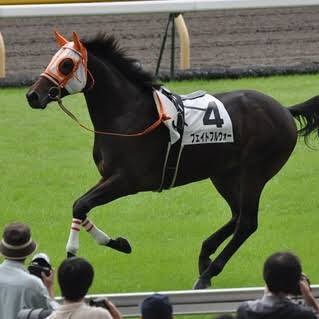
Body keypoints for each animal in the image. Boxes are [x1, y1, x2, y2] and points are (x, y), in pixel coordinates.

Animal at [26, 32, 319, 290]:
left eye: (66, 64)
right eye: (53, 59)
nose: (33, 95)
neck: (127, 116)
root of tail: (284, 110)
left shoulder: (127, 181)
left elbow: (81, 204)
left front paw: (75, 252)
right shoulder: (108, 176)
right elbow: (80, 205)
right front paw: (119, 243)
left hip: (254, 172)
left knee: (247, 222)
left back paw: (208, 273)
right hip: (224, 174)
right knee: (237, 216)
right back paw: (205, 256)